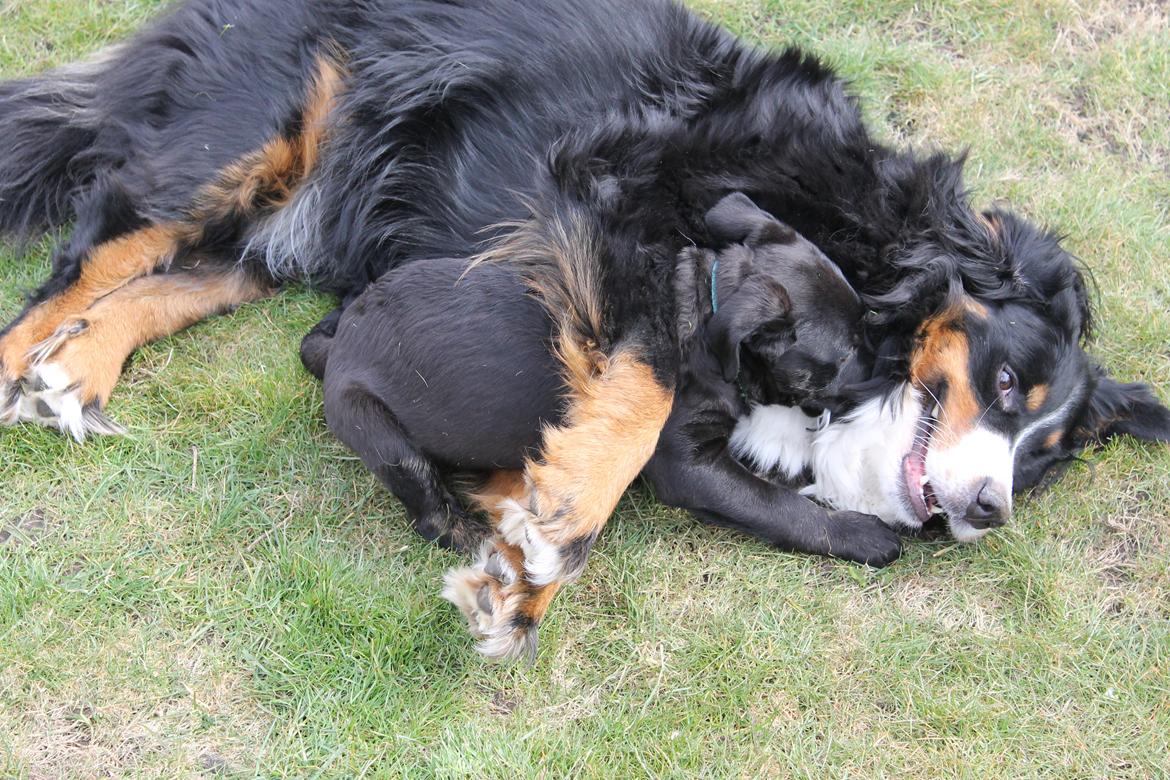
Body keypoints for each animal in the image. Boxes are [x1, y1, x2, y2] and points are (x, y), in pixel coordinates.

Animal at [301, 194, 893, 561]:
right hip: (378, 433)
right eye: (845, 355)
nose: (892, 373)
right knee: (426, 506)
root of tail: (341, 347)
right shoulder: (689, 466)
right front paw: (859, 533)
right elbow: (778, 506)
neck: (705, 309)